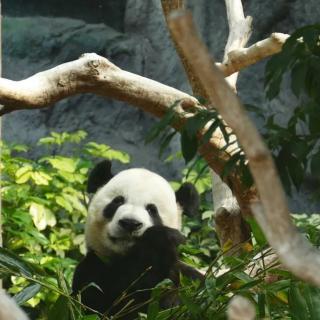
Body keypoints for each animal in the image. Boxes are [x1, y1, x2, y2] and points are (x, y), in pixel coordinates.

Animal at [72, 161, 202, 318]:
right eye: (118, 201)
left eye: (152, 210)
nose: (130, 223)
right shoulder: (91, 270)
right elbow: (109, 304)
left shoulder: (187, 278)